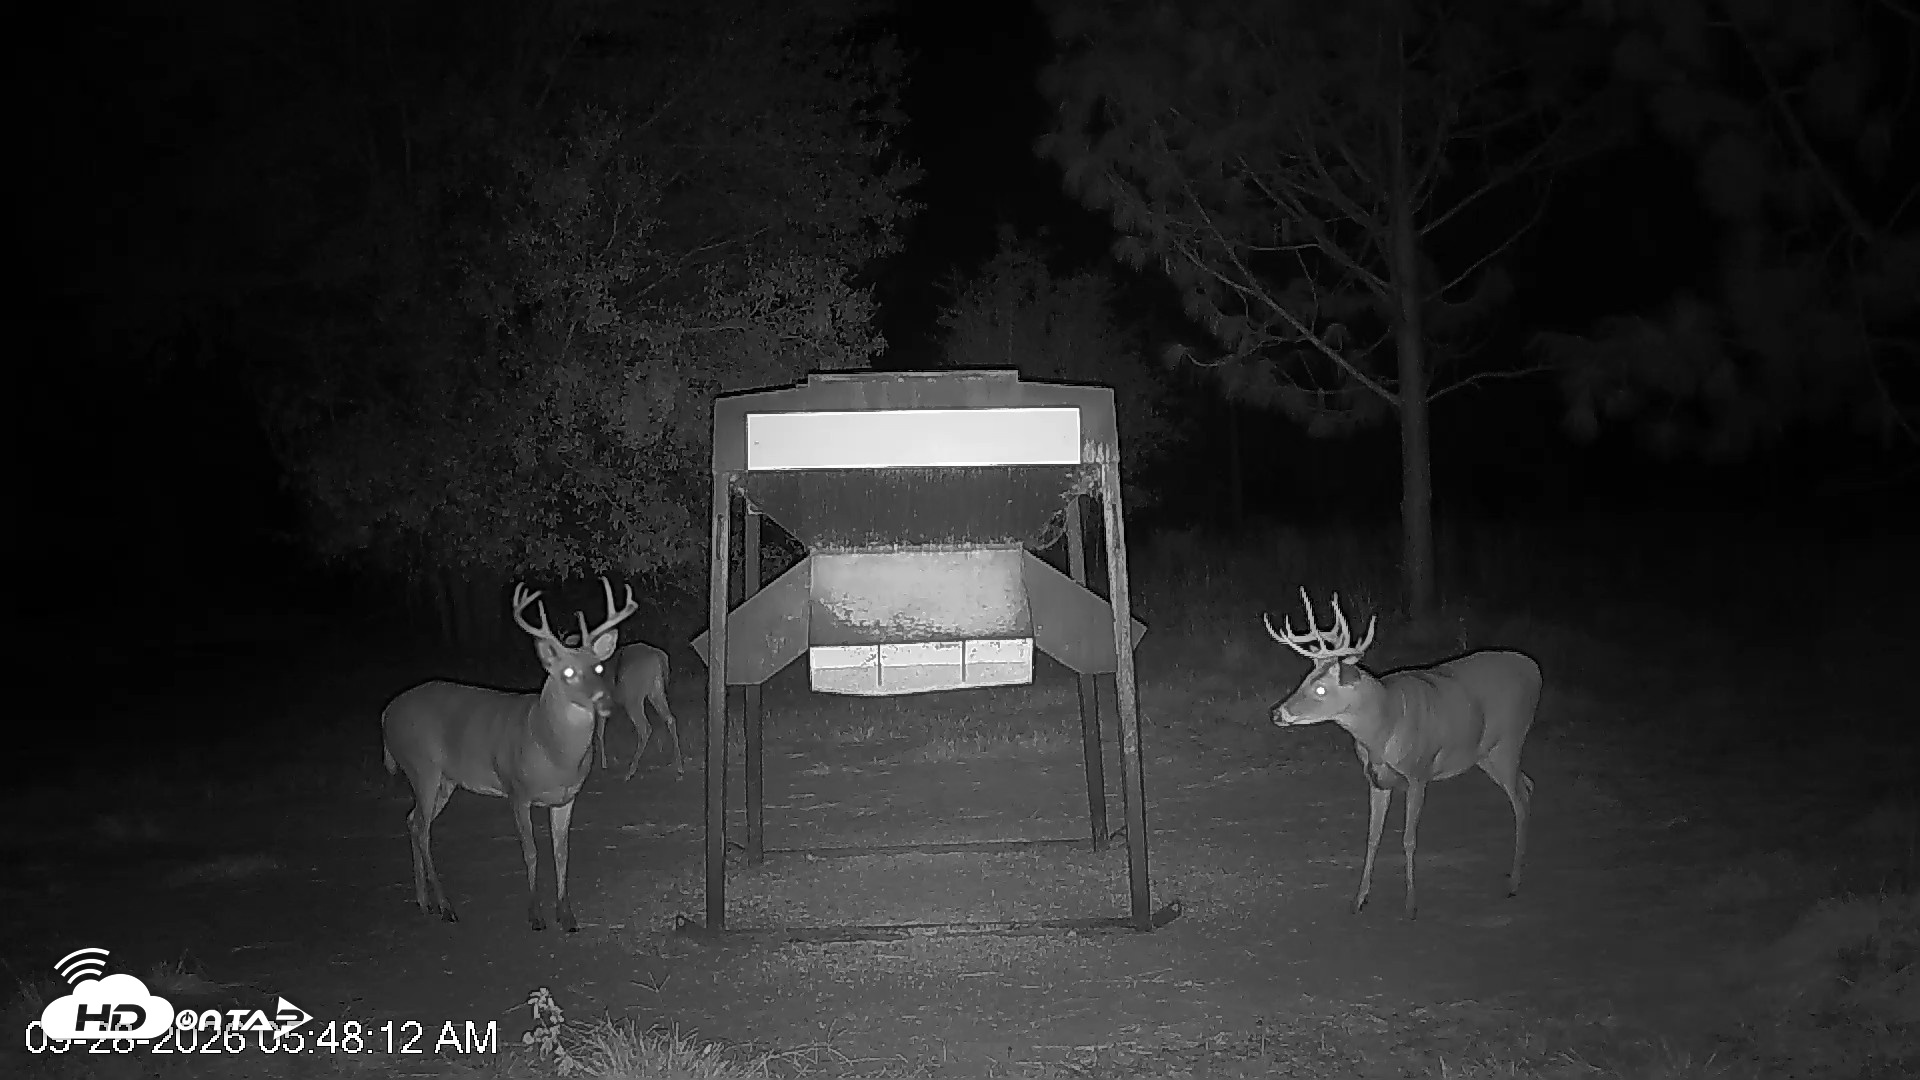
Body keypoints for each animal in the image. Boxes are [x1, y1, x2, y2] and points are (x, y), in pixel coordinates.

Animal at [381, 577, 637, 932]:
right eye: (568, 673)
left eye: (599, 667)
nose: (604, 700)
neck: (550, 748)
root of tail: (385, 714)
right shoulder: (517, 790)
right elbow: (531, 851)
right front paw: (535, 916)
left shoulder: (566, 797)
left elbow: (562, 853)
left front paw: (567, 916)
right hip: (421, 767)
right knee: (421, 828)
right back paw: (446, 906)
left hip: (446, 779)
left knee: (411, 820)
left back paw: (424, 902)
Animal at [1265, 588, 1542, 920]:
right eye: (1305, 679)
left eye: (1321, 690)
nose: (1277, 713)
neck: (1384, 727)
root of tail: (1535, 670)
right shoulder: (1375, 779)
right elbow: (1372, 837)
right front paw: (1358, 900)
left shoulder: (1419, 772)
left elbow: (1409, 839)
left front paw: (1410, 905)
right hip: (1487, 754)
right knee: (1528, 784)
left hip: (1509, 742)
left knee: (1521, 797)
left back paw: (1513, 882)